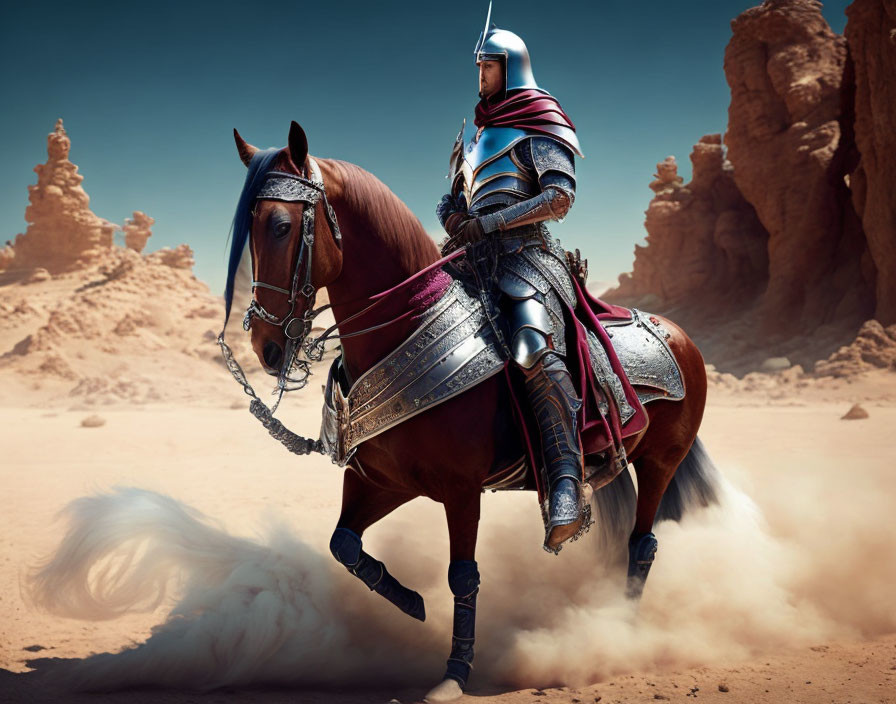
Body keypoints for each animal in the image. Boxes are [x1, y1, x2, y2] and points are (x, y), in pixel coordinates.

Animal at [228, 122, 716, 704]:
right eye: (250, 230)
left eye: (281, 226)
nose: (265, 344)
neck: (406, 325)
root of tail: (681, 335)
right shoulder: (381, 480)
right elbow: (343, 543)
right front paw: (411, 602)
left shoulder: (461, 491)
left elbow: (463, 575)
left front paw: (454, 674)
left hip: (661, 460)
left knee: (642, 542)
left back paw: (621, 625)